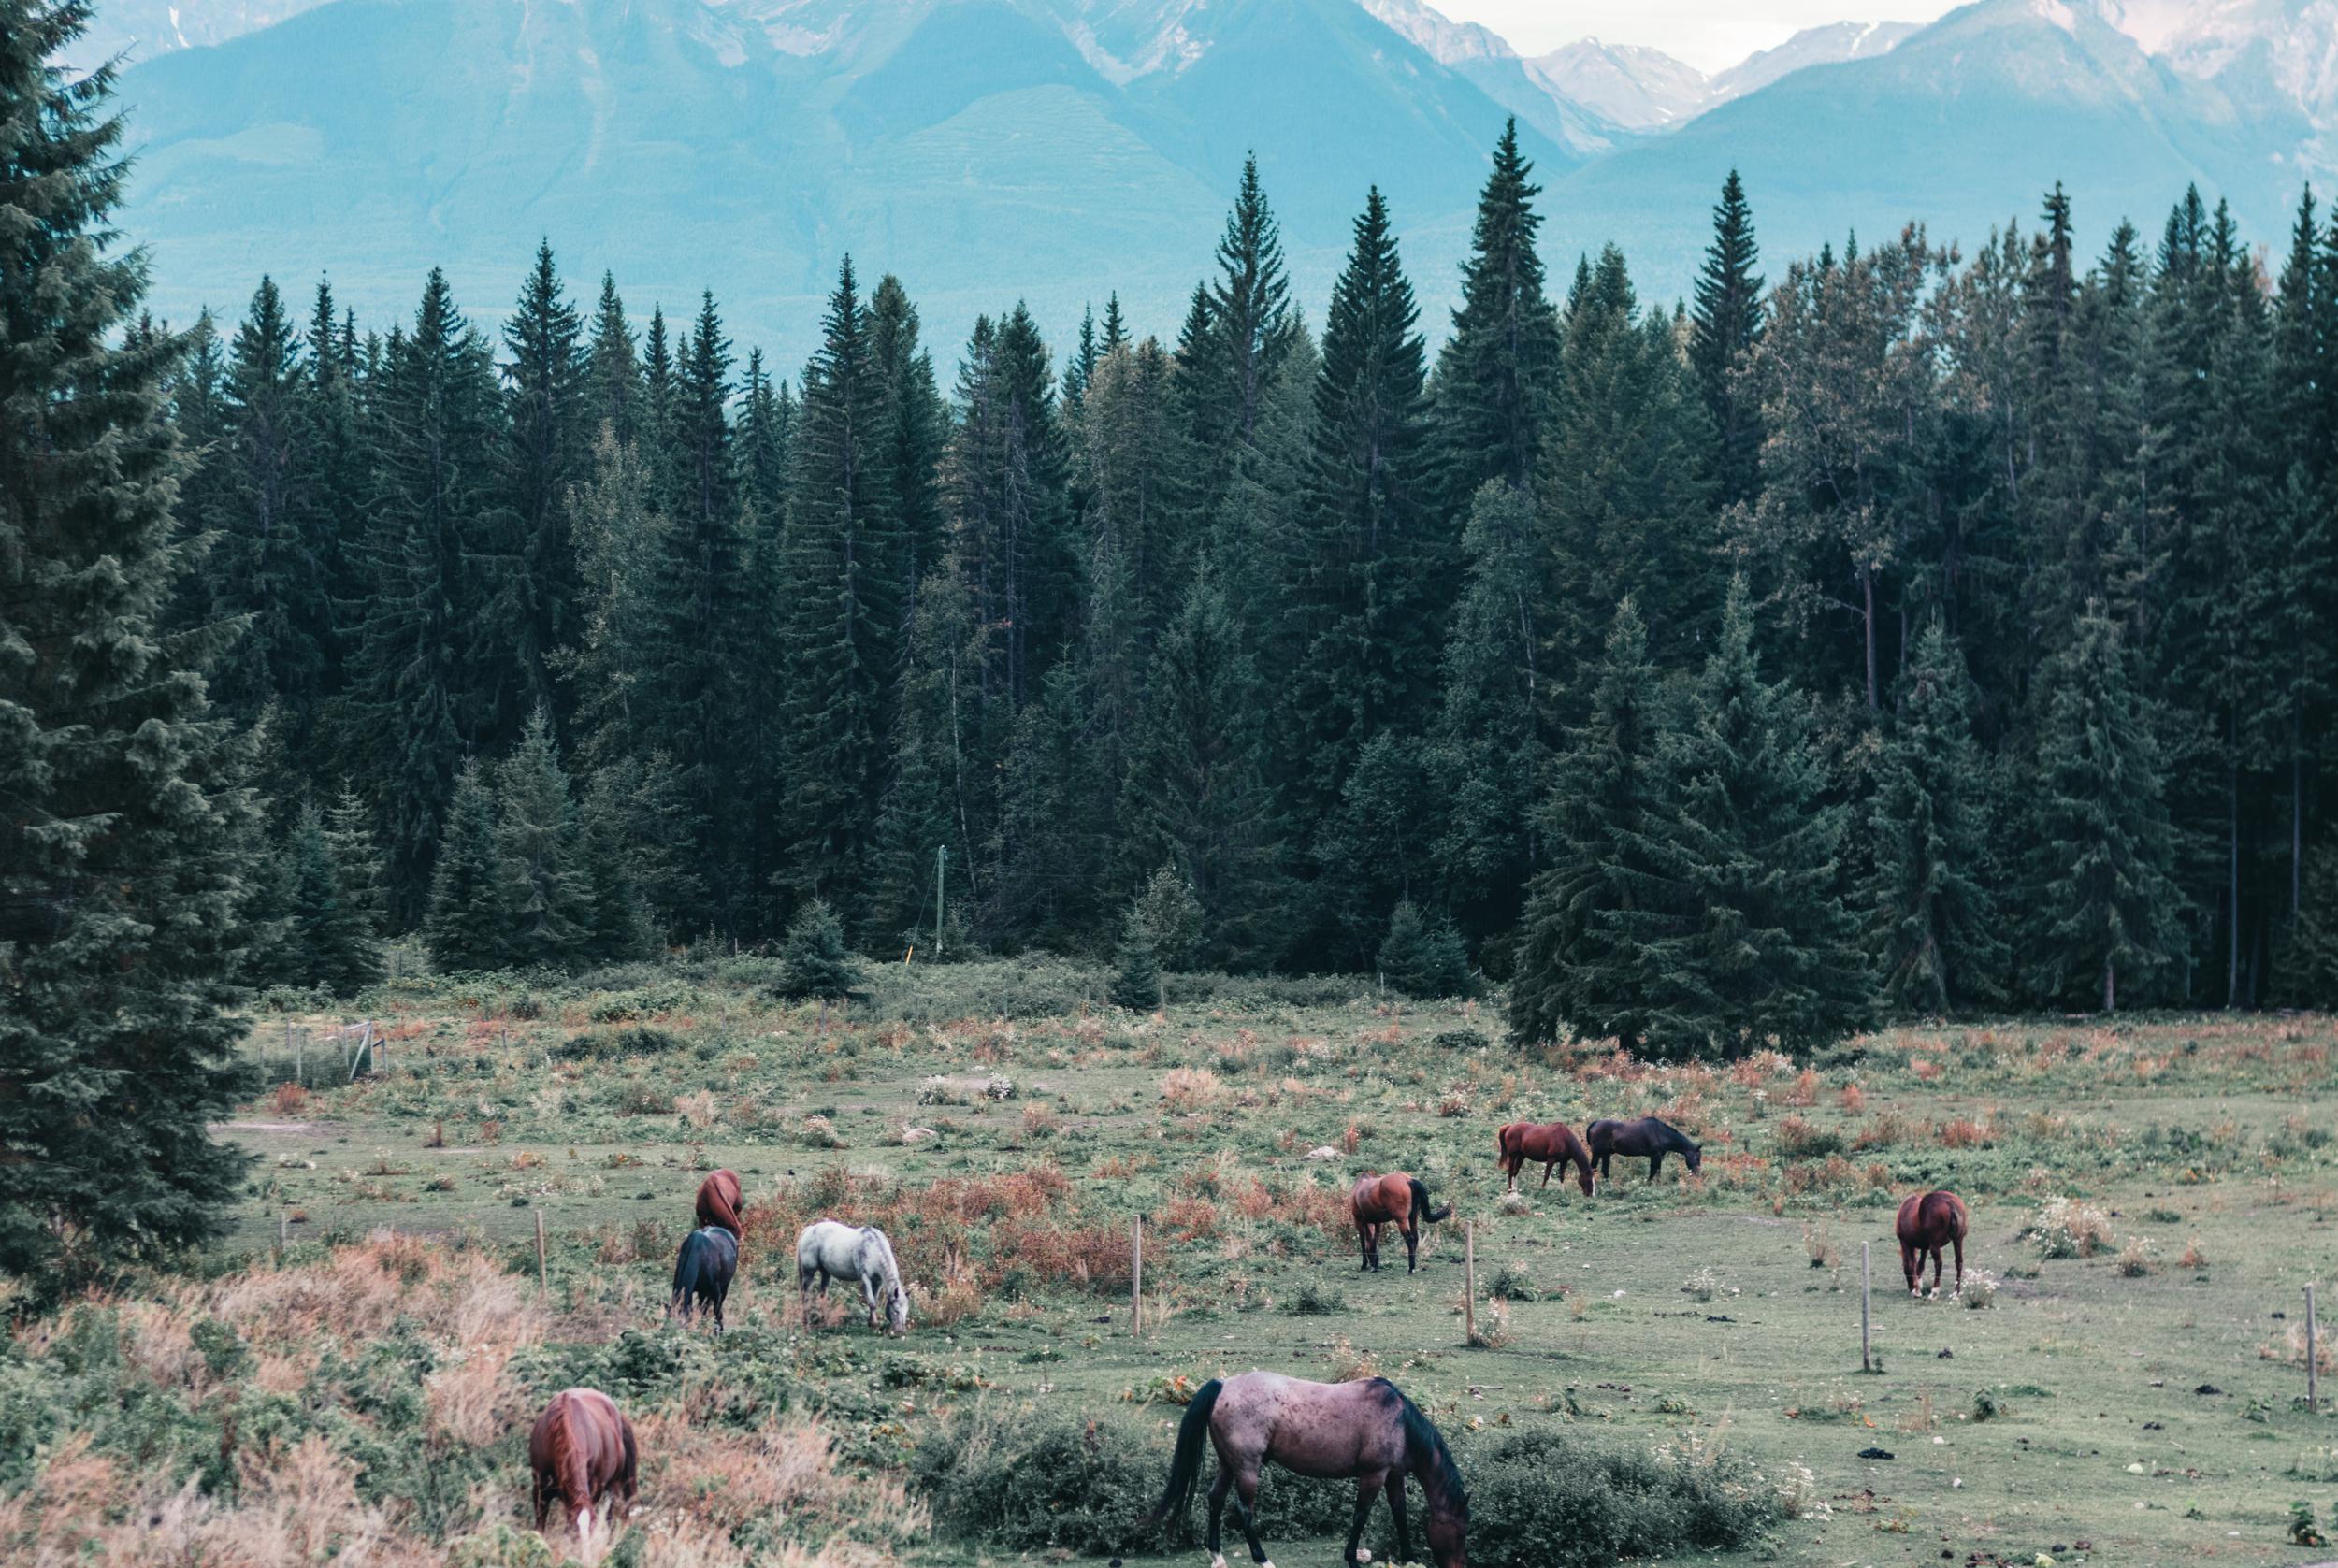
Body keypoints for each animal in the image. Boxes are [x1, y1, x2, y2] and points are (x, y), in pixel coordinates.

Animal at [530, 1392, 641, 1551]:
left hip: (612, 1487)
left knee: (610, 1519)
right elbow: (540, 1527)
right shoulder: (540, 1490)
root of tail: (619, 1416)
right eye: (574, 1537)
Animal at [804, 1215, 912, 1336]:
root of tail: (811, 1229)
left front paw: (871, 1323)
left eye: (906, 1311)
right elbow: (872, 1303)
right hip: (808, 1273)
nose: (900, 1332)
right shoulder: (866, 1279)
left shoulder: (878, 1282)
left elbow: (875, 1300)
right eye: (896, 1310)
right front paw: (875, 1325)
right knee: (805, 1295)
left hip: (826, 1274)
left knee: (823, 1295)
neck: (873, 1248)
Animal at [1146, 1364, 1459, 1568]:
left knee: (1216, 1499)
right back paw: (1263, 1560)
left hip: (1228, 1464)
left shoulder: (1393, 1475)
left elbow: (1399, 1513)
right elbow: (1361, 1515)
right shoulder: (1373, 1475)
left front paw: (1410, 1558)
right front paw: (1352, 1559)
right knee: (1245, 1510)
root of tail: (1223, 1386)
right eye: (1461, 1528)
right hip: (1247, 1468)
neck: (1399, 1420)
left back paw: (1218, 1558)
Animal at [1580, 1121, 1711, 1182]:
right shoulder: (1656, 1155)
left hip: (1606, 1154)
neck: (1661, 1133)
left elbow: (1654, 1170)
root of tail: (1595, 1124)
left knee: (1605, 1170)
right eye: (1697, 1157)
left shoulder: (1655, 1156)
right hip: (1597, 1153)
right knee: (1593, 1168)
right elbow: (1655, 1171)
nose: (1697, 1174)